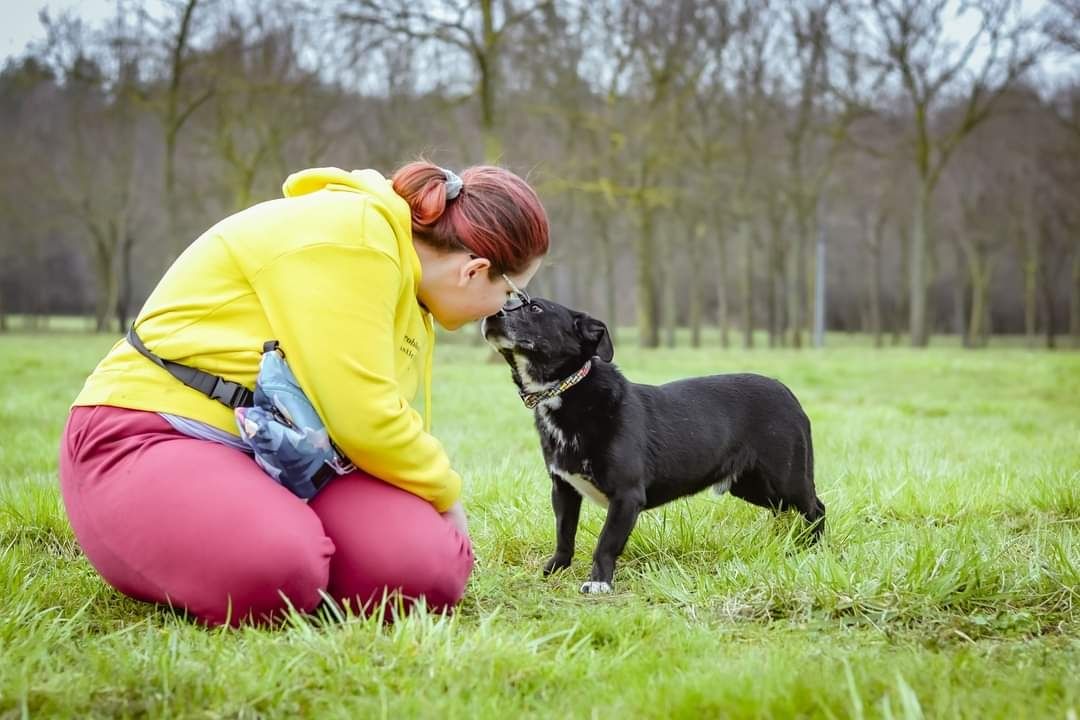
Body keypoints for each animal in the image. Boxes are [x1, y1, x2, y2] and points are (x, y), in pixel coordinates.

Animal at [483, 297, 825, 591]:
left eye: (536, 308)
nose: (491, 313)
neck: (564, 391)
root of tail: (788, 393)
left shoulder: (627, 496)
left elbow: (605, 543)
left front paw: (599, 583)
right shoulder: (563, 488)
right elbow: (564, 534)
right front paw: (555, 570)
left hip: (787, 478)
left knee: (815, 508)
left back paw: (812, 550)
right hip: (753, 486)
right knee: (791, 510)